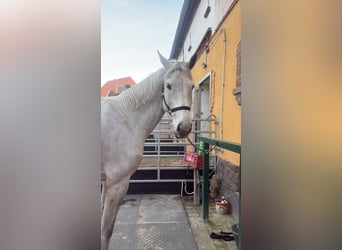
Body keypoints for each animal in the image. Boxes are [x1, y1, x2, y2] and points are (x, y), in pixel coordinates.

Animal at [100, 51, 194, 249]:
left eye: (192, 86)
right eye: (168, 85)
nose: (184, 127)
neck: (126, 119)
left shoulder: (106, 182)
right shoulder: (116, 183)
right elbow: (106, 230)